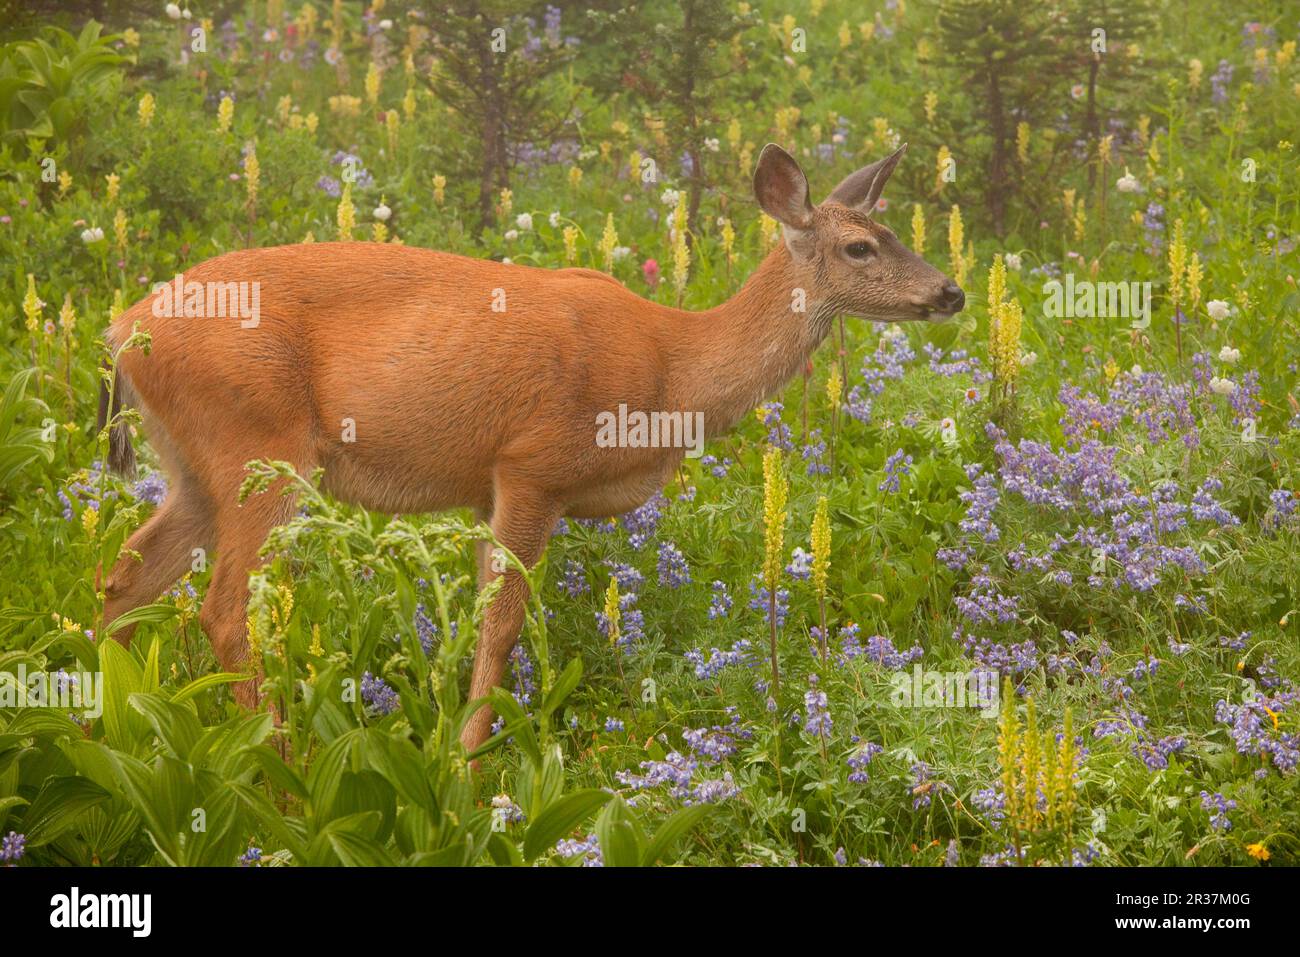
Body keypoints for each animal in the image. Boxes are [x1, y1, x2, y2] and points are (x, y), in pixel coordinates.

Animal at [101, 141, 967, 754]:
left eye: (894, 231)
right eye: (859, 247)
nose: (952, 291)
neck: (672, 370)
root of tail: (123, 331)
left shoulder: (493, 487)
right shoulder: (531, 465)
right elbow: (502, 624)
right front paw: (464, 765)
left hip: (195, 466)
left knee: (125, 575)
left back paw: (104, 731)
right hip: (260, 445)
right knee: (223, 608)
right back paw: (279, 771)